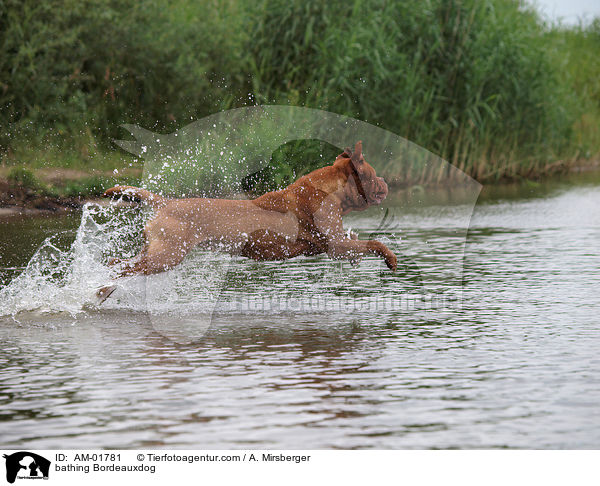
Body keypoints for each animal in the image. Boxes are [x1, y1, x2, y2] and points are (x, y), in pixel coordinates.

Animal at [101, 140, 396, 278]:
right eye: (373, 174)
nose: (386, 181)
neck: (329, 190)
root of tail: (167, 203)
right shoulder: (334, 244)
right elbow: (374, 243)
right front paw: (390, 258)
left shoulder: (332, 246)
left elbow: (358, 241)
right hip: (166, 256)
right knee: (126, 270)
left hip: (154, 250)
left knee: (118, 262)